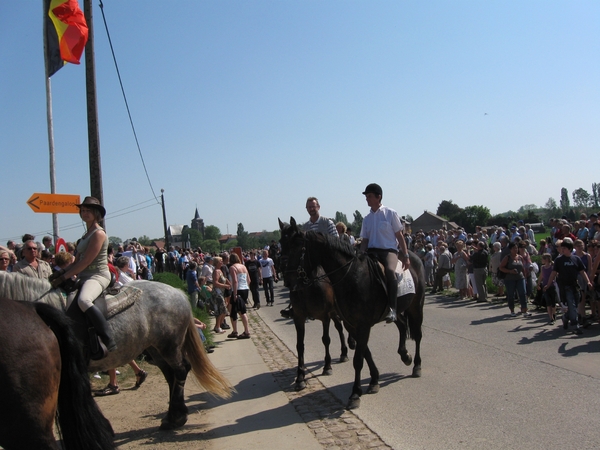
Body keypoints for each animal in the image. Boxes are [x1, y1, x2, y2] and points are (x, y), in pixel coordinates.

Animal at [278, 220, 424, 410]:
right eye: (281, 243)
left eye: (296, 246)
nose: (288, 280)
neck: (351, 276)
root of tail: (413, 256)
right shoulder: (349, 323)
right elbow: (364, 352)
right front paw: (374, 380)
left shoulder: (358, 323)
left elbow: (358, 359)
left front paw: (355, 394)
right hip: (396, 309)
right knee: (401, 324)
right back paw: (405, 355)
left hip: (416, 306)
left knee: (418, 335)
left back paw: (417, 366)